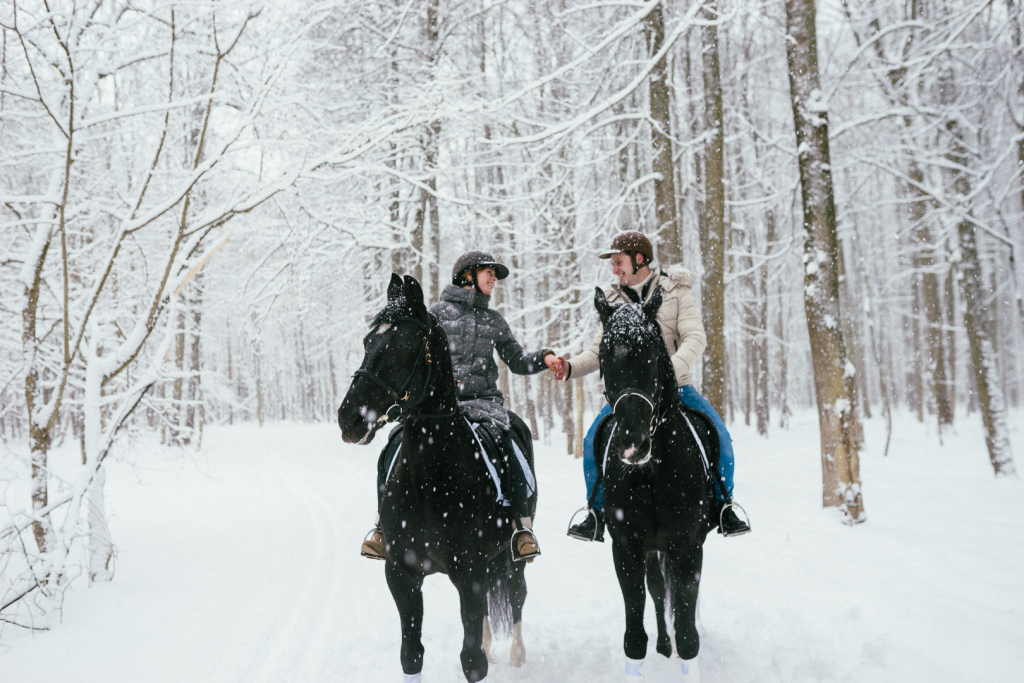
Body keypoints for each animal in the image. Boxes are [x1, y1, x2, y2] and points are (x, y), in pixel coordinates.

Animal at [339, 274, 540, 683]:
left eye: (403, 343)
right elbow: (411, 655)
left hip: (512, 555)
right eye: (368, 341)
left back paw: (516, 654)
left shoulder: (470, 573)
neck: (430, 482)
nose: (349, 418)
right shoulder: (401, 574)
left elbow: (472, 662)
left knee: (516, 595)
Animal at [598, 286, 716, 679]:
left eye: (651, 353)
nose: (633, 444)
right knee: (658, 590)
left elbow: (689, 635)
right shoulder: (628, 548)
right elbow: (634, 638)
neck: (651, 473)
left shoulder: (688, 547)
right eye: (603, 357)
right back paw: (664, 646)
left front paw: (684, 649)